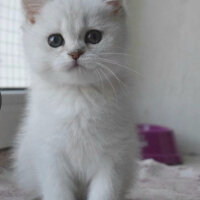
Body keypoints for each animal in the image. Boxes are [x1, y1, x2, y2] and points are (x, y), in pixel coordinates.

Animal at [13, 0, 139, 200]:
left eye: (93, 36)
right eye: (55, 40)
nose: (75, 53)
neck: (79, 97)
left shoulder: (113, 155)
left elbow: (104, 192)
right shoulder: (50, 155)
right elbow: (58, 192)